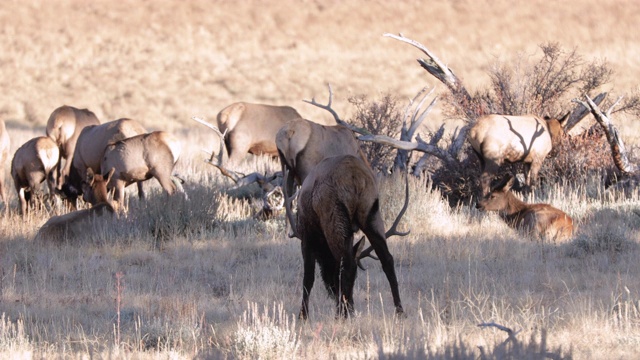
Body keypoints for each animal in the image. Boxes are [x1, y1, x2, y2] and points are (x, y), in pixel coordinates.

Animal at [292, 154, 410, 318]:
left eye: (330, 274)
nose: (332, 291)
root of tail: (356, 177)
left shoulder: (307, 235)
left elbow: (308, 278)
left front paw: (303, 316)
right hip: (371, 213)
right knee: (386, 259)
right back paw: (399, 310)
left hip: (335, 215)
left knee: (347, 262)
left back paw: (342, 314)